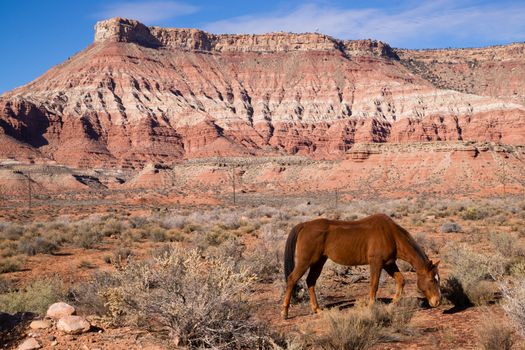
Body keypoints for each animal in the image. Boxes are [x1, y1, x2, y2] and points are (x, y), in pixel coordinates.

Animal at [280, 213, 440, 320]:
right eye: (432, 280)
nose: (437, 301)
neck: (391, 234)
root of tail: (304, 225)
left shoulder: (389, 263)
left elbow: (401, 280)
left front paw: (393, 303)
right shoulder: (376, 263)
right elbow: (374, 284)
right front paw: (371, 306)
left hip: (319, 262)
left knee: (310, 281)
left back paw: (317, 310)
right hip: (305, 261)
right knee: (292, 279)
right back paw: (285, 312)